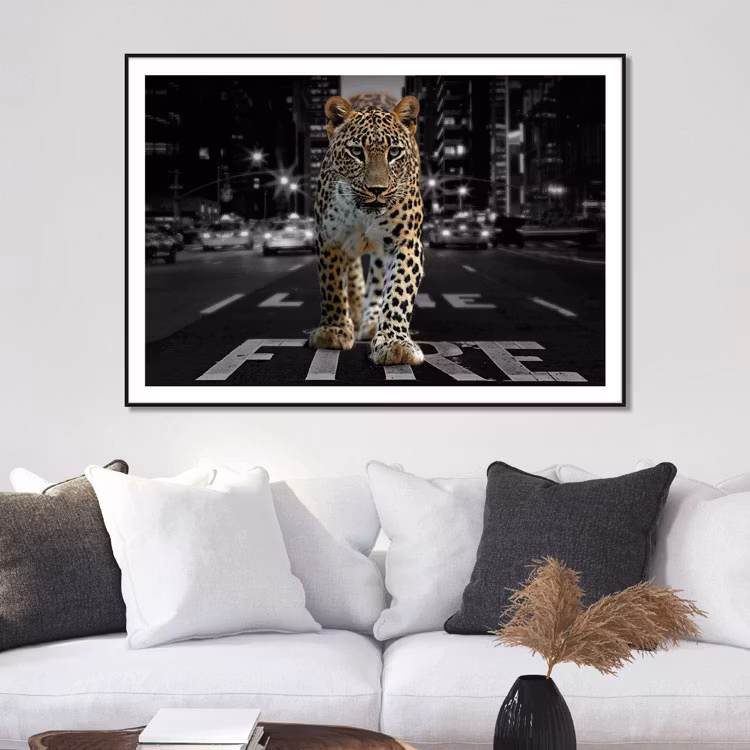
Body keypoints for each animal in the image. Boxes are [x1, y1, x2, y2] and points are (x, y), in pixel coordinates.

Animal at [309, 91, 425, 366]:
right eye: (356, 152)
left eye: (394, 152)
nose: (377, 189)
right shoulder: (329, 238)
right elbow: (331, 285)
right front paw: (334, 331)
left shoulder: (406, 240)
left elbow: (398, 290)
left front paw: (394, 343)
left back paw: (371, 321)